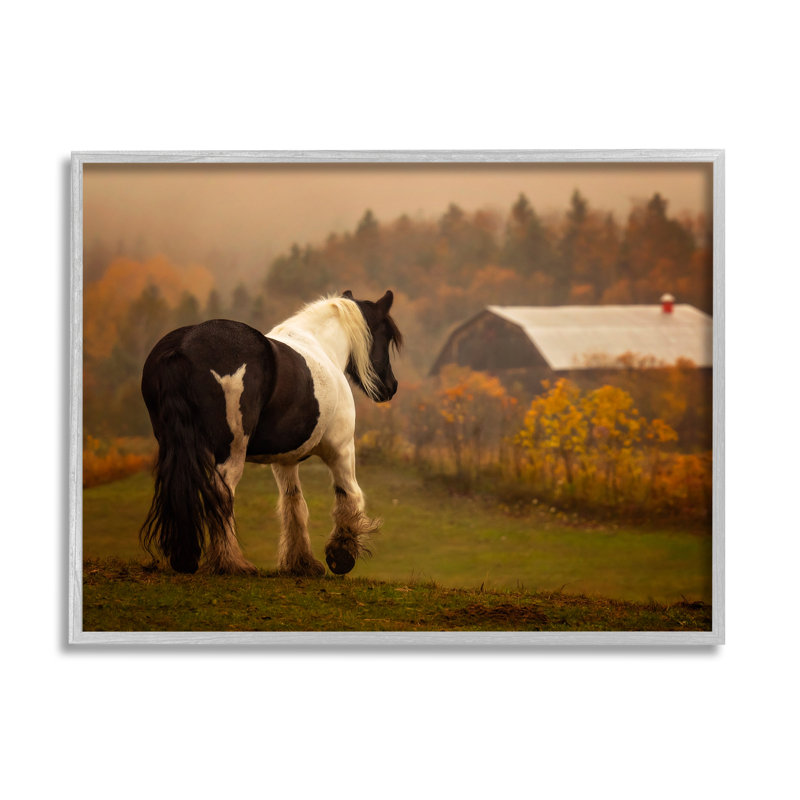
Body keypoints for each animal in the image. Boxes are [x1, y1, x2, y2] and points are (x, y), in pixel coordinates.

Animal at [139, 290, 402, 577]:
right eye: (386, 336)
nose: (391, 386)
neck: (322, 347)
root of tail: (183, 347)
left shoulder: (285, 461)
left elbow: (294, 504)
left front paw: (301, 562)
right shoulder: (341, 449)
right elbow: (349, 495)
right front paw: (341, 555)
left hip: (175, 445)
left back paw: (185, 558)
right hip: (231, 450)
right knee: (222, 492)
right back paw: (231, 562)